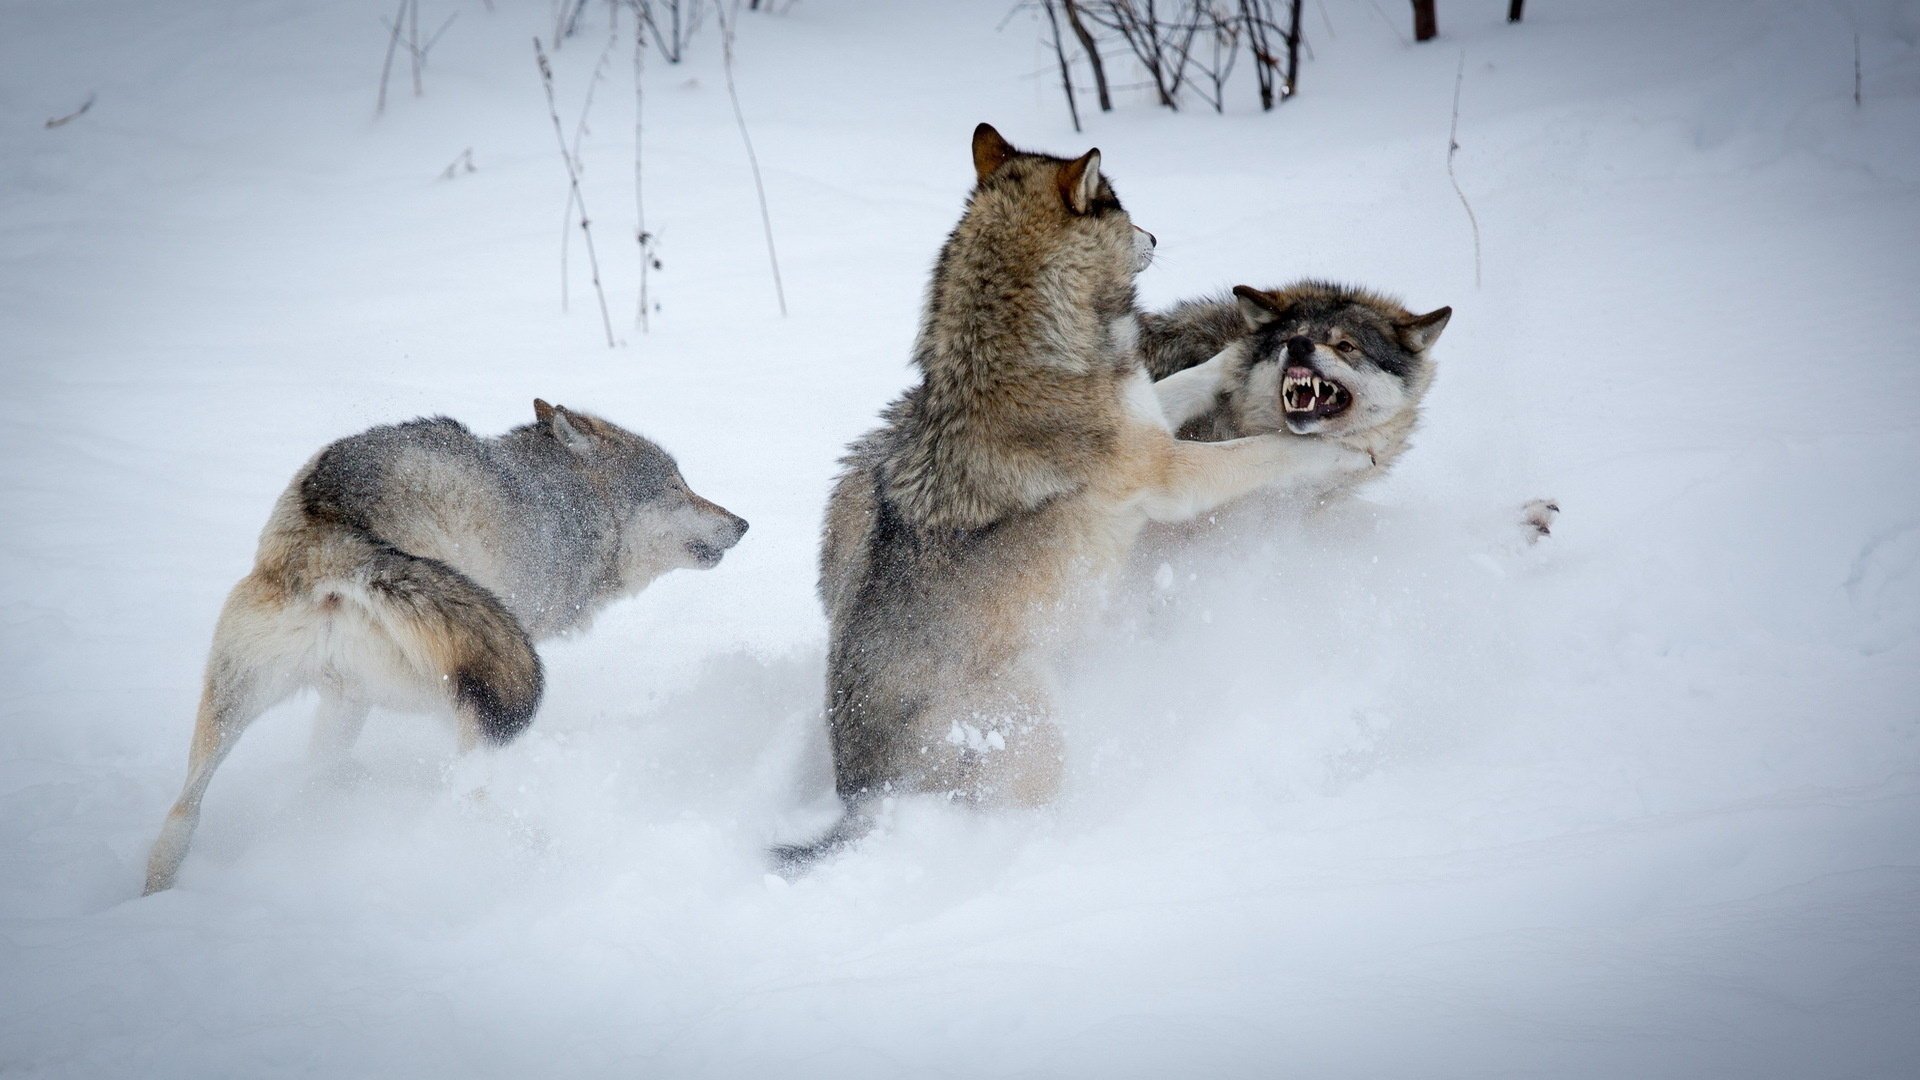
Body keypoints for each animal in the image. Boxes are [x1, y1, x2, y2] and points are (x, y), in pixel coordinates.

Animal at [142, 400, 748, 894]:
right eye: (677, 487)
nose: (742, 522)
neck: (561, 509)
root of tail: (337, 538)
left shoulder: (342, 697)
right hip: (473, 696)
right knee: (465, 794)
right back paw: (516, 853)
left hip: (261, 704)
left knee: (185, 812)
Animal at [780, 125, 1372, 866]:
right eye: (1120, 205)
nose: (1155, 234)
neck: (1027, 350)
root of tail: (861, 794)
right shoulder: (1170, 474)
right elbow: (1268, 451)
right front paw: (1337, 452)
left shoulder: (1150, 415)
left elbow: (1194, 378)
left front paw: (1239, 350)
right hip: (1037, 724)